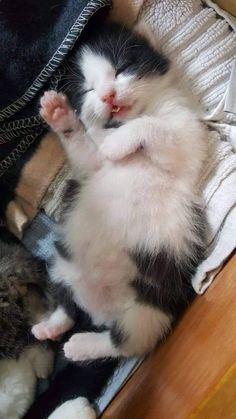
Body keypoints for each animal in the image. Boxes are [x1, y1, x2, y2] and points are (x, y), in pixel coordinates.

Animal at [31, 22, 206, 416]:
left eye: (123, 68)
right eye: (88, 90)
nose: (109, 95)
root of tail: (101, 313)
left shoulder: (188, 139)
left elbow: (153, 127)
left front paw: (118, 142)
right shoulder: (92, 166)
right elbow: (89, 155)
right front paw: (61, 116)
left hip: (152, 307)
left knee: (125, 342)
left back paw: (80, 345)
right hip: (60, 262)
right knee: (68, 305)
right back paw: (51, 327)